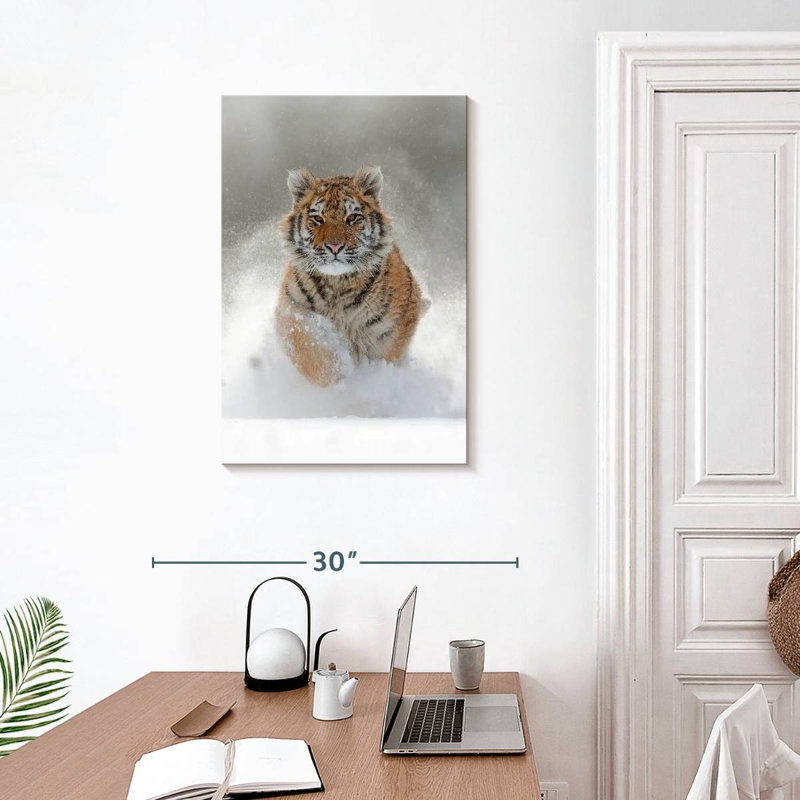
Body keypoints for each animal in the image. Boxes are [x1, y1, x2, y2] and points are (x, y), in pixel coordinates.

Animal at [275, 165, 425, 387]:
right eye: (318, 219)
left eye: (352, 218)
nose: (334, 246)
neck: (338, 283)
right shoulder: (292, 311)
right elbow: (311, 353)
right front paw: (338, 378)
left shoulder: (390, 329)